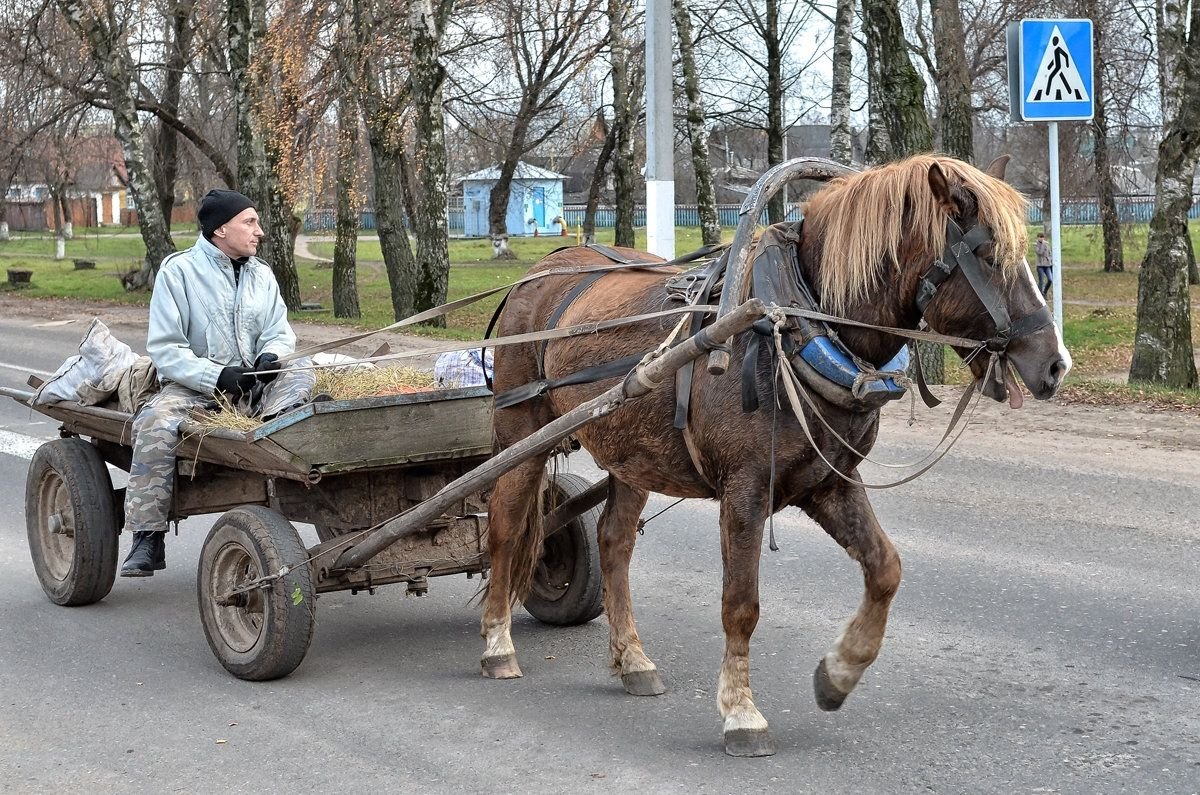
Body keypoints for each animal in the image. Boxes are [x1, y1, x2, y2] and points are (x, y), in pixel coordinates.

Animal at [475, 152, 1070, 758]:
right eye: (988, 255)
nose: (1055, 364)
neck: (793, 325)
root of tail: (543, 271)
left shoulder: (830, 482)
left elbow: (885, 569)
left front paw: (838, 674)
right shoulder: (744, 492)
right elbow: (741, 603)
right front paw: (742, 712)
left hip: (631, 454)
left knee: (614, 543)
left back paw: (633, 661)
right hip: (523, 434)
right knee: (505, 528)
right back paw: (498, 645)